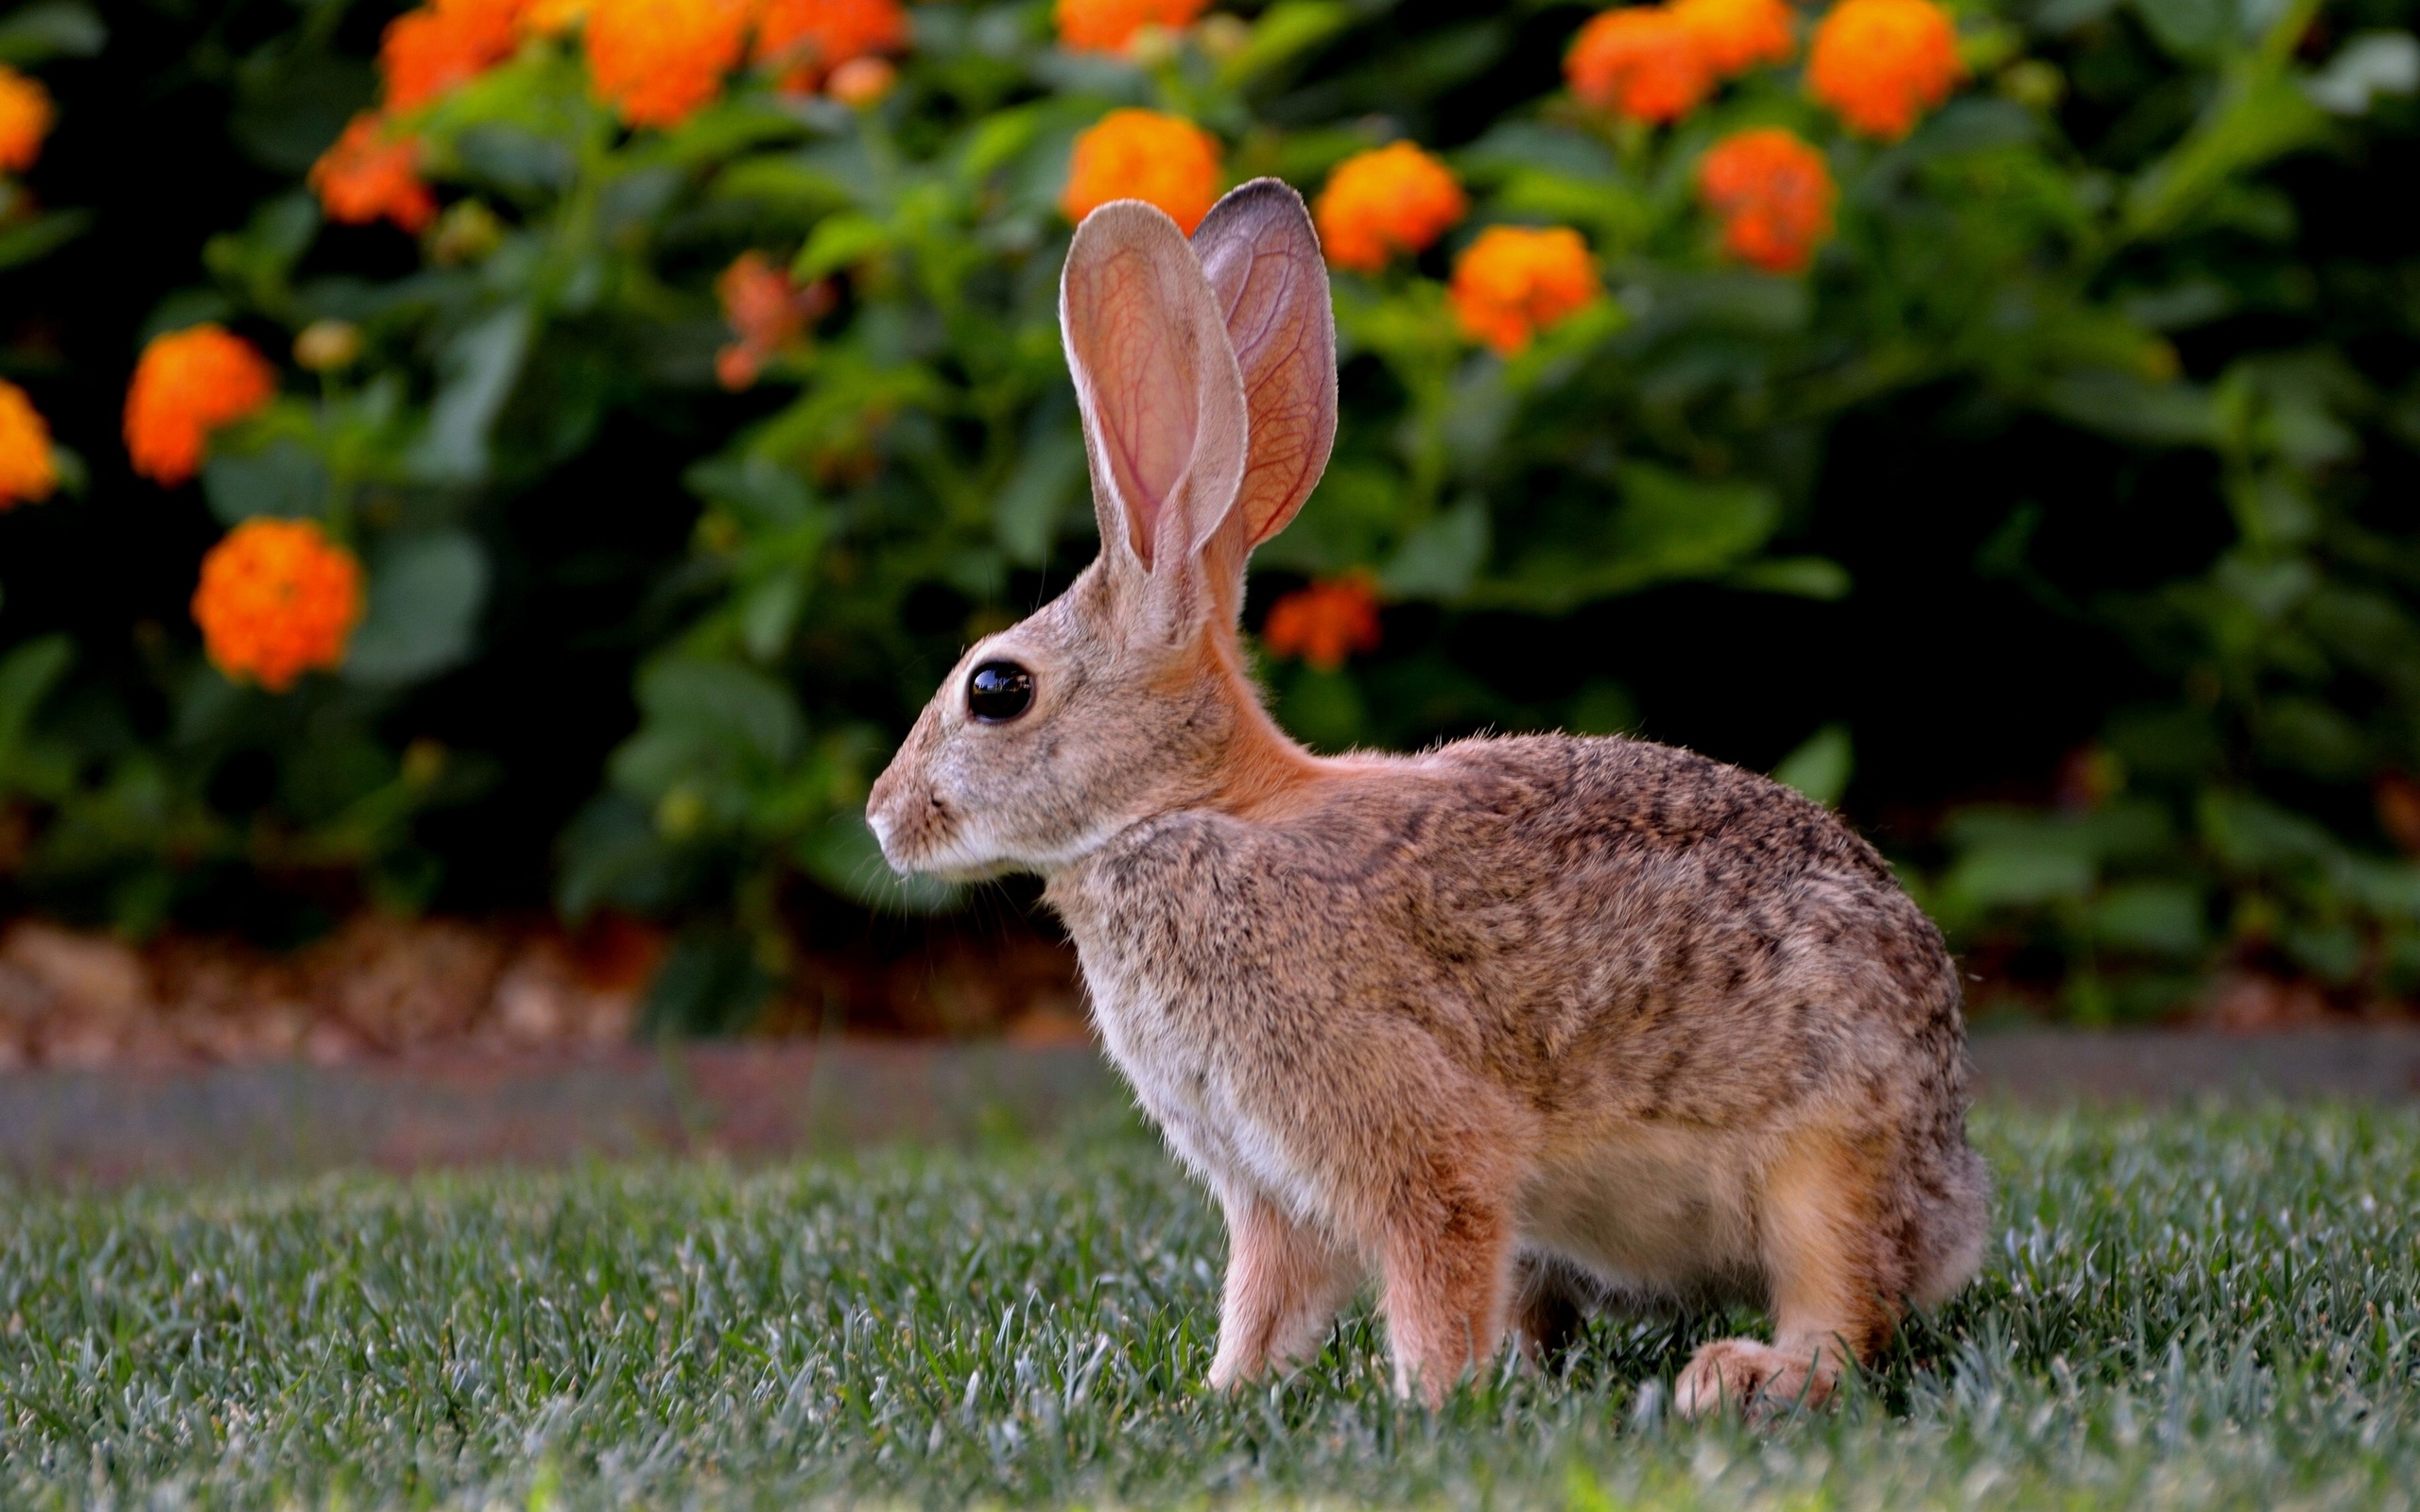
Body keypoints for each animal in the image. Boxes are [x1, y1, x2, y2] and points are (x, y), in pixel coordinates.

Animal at [871, 180, 1984, 1413]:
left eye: (996, 689)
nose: (881, 815)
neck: (1189, 811)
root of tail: (1953, 1198)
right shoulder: (1267, 1185)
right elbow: (1267, 1296)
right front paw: (1225, 1393)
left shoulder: (1404, 1133)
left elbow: (1428, 1259)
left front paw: (1428, 1403)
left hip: (1826, 1160)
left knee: (1846, 1312)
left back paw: (1742, 1377)